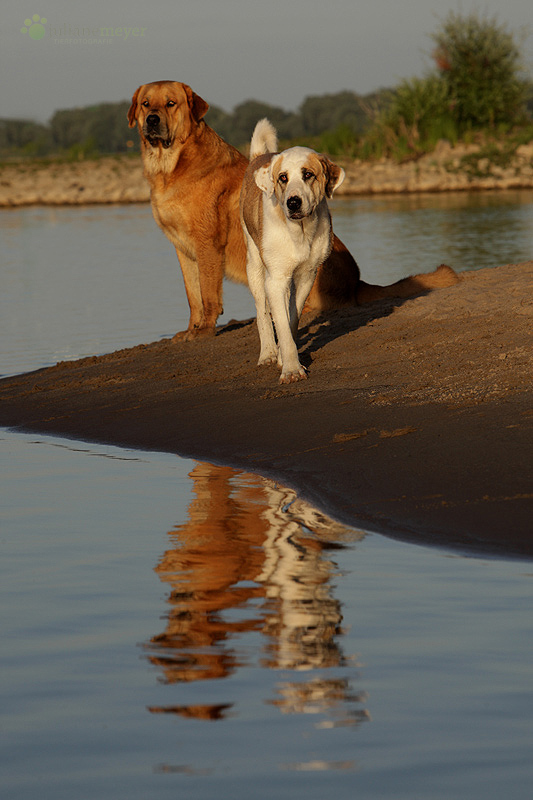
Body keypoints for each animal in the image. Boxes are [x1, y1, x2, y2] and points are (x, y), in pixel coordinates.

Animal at [127, 82, 456, 340]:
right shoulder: (183, 248)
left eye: (171, 103)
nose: (152, 120)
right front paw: (191, 330)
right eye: (146, 104)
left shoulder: (207, 243)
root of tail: (357, 282)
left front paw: (205, 330)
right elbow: (192, 294)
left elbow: (208, 293)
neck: (170, 166)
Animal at [238, 119, 344, 384]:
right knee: (262, 311)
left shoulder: (307, 275)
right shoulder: (275, 279)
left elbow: (292, 318)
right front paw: (291, 369)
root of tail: (259, 156)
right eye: (283, 178)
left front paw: (285, 358)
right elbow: (281, 324)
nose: (293, 202)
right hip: (255, 265)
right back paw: (267, 352)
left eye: (308, 175)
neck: (299, 233)